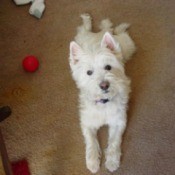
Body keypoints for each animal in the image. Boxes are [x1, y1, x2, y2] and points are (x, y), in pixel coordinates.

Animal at [69, 14, 136, 174]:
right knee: (86, 28)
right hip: (80, 37)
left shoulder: (118, 121)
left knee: (112, 29)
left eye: (108, 67)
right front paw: (93, 162)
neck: (103, 102)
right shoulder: (87, 123)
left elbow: (114, 142)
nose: (104, 85)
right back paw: (87, 19)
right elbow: (91, 141)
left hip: (128, 46)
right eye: (89, 72)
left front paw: (111, 162)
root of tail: (98, 34)